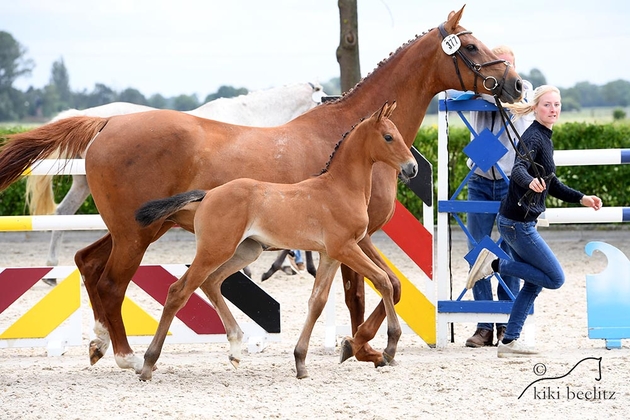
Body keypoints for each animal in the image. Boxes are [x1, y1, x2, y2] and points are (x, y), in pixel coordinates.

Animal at [24, 82, 325, 280]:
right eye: (321, 99)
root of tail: (99, 120)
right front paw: (281, 267)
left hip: (82, 184)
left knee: (63, 214)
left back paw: (51, 269)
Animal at [134, 102, 415, 379]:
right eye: (388, 137)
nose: (412, 168)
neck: (339, 189)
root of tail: (208, 195)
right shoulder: (345, 248)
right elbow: (383, 281)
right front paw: (390, 347)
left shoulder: (331, 255)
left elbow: (317, 302)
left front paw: (301, 361)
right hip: (214, 250)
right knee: (178, 291)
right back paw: (148, 363)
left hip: (245, 252)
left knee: (211, 283)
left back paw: (235, 349)